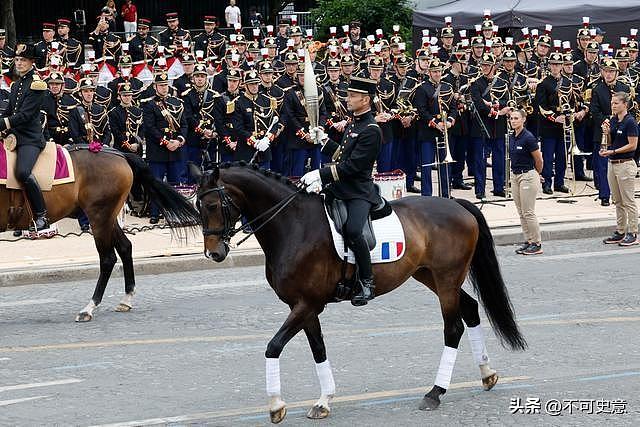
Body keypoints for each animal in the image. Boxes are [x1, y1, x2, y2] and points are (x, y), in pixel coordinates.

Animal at [0, 149, 200, 322]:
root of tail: (119, 154)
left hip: (99, 216)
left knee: (108, 258)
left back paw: (89, 308)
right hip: (108, 218)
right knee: (125, 248)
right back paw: (126, 299)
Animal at [192, 162, 528, 422]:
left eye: (212, 205)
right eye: (197, 206)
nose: (214, 254)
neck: (294, 224)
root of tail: (456, 203)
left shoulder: (306, 304)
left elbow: (273, 346)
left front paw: (276, 405)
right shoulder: (304, 307)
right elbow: (318, 349)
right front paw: (324, 401)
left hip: (447, 279)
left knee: (454, 327)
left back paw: (435, 393)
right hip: (431, 276)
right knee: (469, 309)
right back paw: (486, 373)